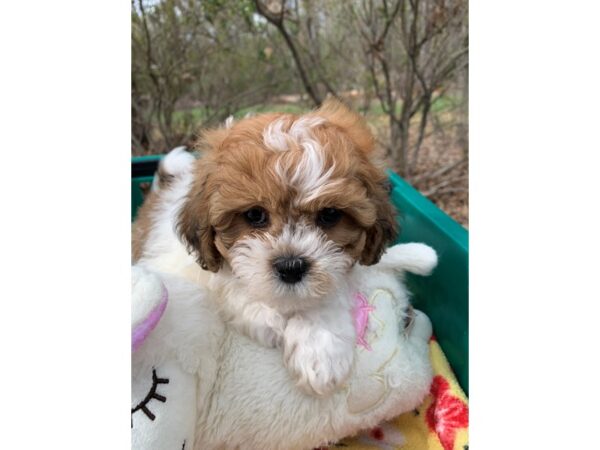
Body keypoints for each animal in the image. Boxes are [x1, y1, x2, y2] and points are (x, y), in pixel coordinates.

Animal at [135, 99, 398, 398]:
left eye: (330, 215)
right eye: (254, 215)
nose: (291, 267)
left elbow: (329, 293)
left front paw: (319, 350)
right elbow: (229, 289)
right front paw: (270, 320)